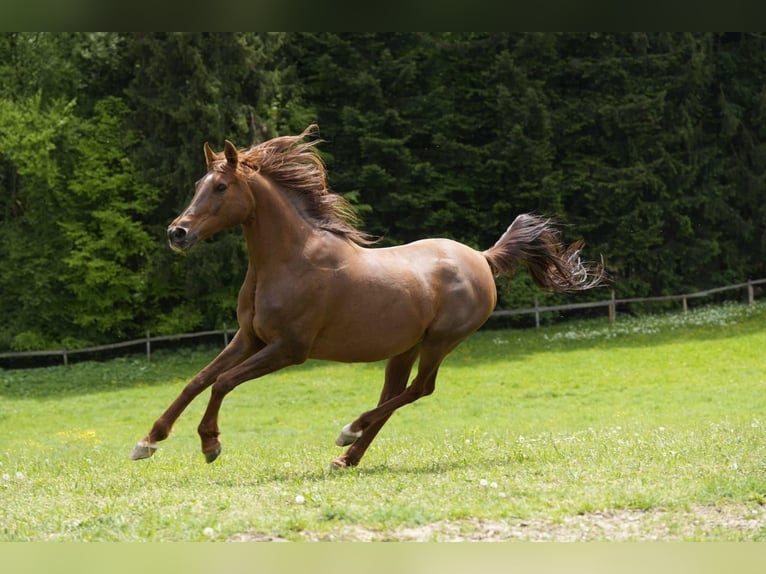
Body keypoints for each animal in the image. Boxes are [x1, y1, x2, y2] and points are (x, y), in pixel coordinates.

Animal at [130, 124, 604, 469]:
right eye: (199, 182)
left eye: (221, 187)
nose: (177, 233)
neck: (288, 260)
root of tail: (483, 259)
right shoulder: (250, 337)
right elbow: (197, 381)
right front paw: (147, 442)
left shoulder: (289, 349)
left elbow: (223, 382)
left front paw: (210, 444)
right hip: (405, 347)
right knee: (396, 394)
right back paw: (348, 457)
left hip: (440, 342)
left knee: (420, 389)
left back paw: (349, 431)